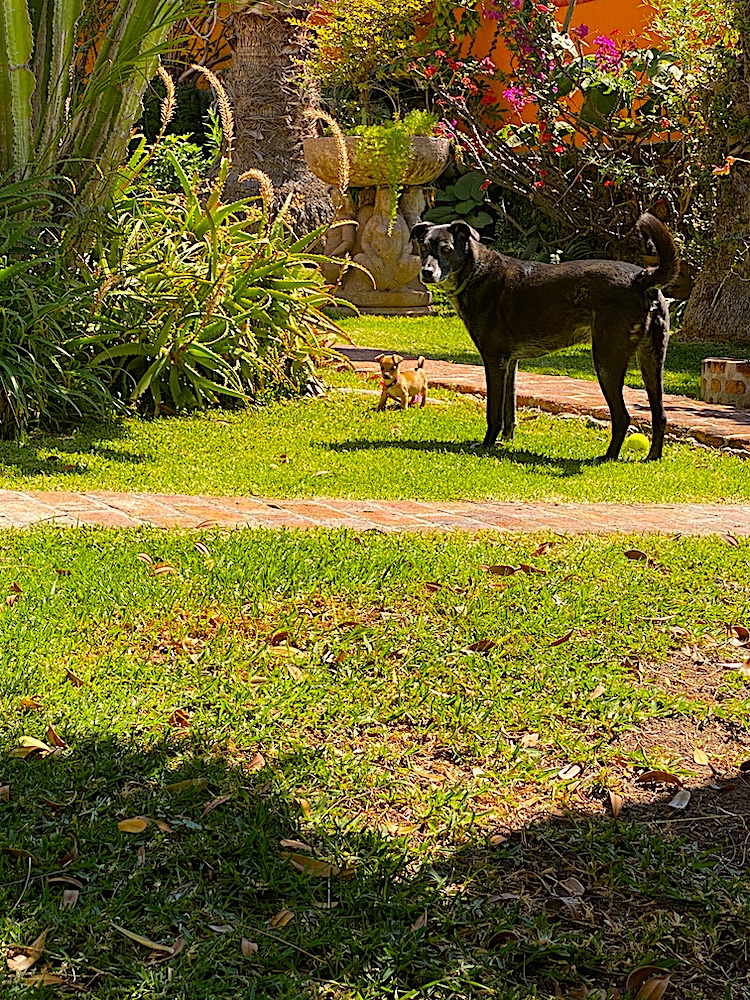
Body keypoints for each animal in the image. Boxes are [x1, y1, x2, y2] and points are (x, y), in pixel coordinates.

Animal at [409, 214, 679, 461]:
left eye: (446, 249)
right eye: (423, 247)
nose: (426, 272)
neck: (476, 270)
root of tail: (641, 279)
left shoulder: (494, 359)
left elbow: (494, 411)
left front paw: (487, 444)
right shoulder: (510, 362)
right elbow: (510, 409)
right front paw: (506, 440)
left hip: (606, 361)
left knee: (622, 416)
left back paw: (607, 457)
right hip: (652, 360)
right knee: (660, 414)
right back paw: (652, 457)